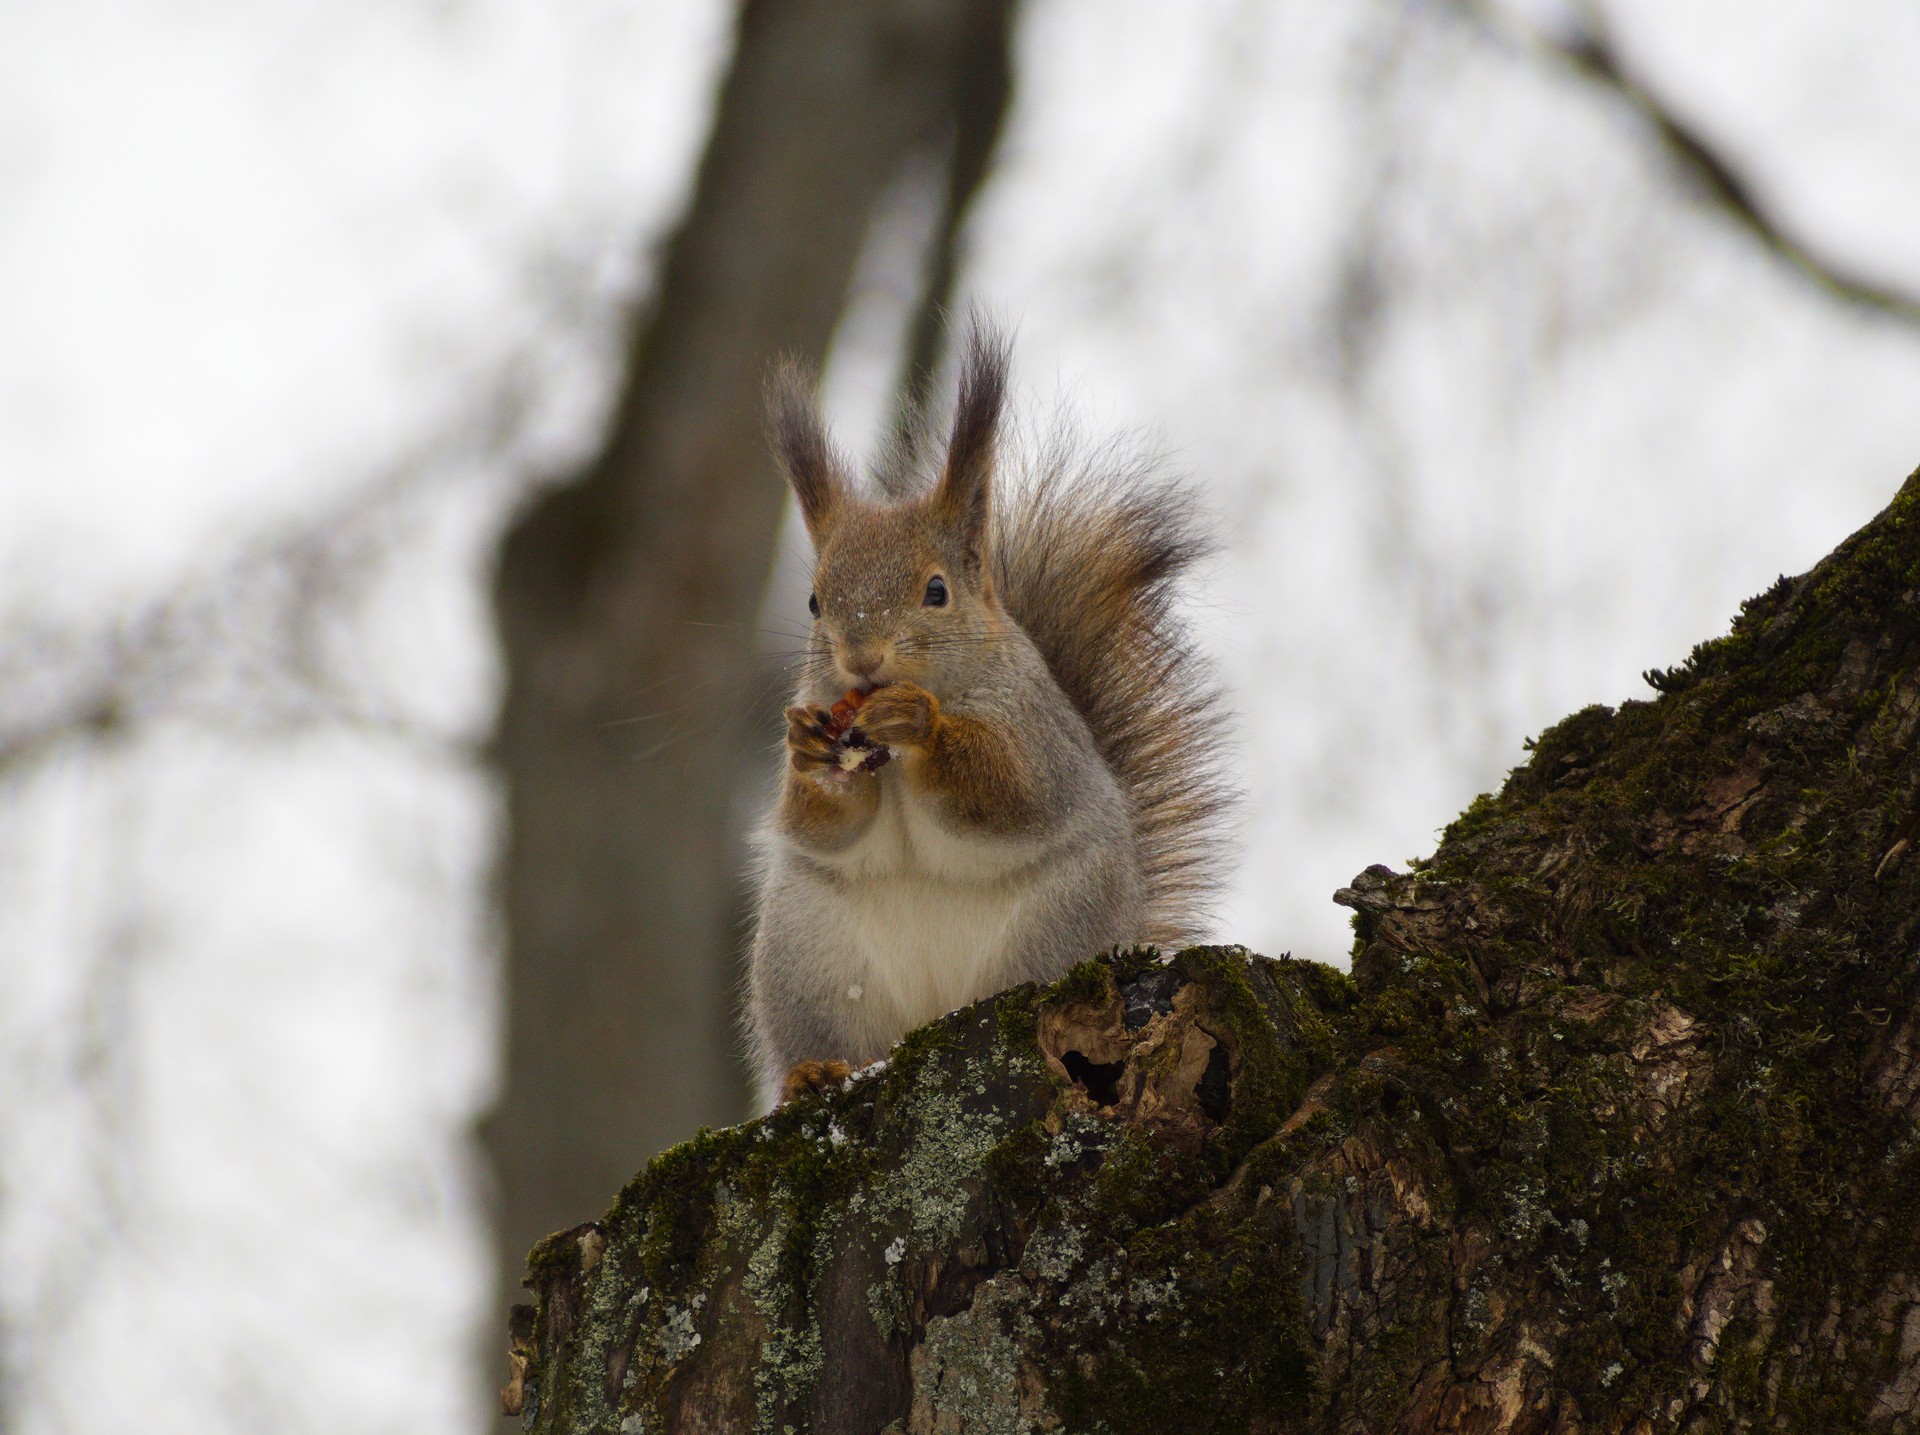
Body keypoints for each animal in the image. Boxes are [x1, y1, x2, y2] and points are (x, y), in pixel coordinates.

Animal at [741, 322, 1236, 1114]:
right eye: (816, 601)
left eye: (936, 591)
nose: (861, 659)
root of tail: (925, 1022)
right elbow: (826, 825)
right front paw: (810, 750)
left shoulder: (1037, 731)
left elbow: (1010, 793)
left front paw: (922, 721)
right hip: (806, 958)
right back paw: (814, 1073)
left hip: (1055, 933)